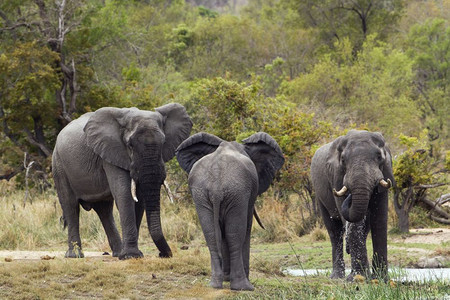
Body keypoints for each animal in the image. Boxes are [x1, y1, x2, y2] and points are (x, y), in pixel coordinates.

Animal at [51, 102, 192, 258]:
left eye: (163, 143)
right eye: (130, 145)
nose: (163, 254)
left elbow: (139, 200)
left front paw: (132, 255)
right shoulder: (110, 152)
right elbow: (124, 194)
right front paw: (131, 255)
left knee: (104, 210)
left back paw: (118, 253)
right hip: (59, 165)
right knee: (70, 206)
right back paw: (74, 256)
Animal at [177, 132, 284, 290]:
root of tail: (216, 182)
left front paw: (227, 279)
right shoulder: (247, 194)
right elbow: (246, 227)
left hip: (201, 194)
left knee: (211, 235)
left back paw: (215, 285)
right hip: (236, 192)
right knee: (235, 235)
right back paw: (244, 287)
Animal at [310, 129, 394, 282]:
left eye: (379, 157)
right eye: (343, 160)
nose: (350, 196)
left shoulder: (385, 174)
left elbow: (379, 220)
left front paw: (380, 279)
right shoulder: (336, 176)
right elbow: (353, 224)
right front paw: (358, 278)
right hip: (318, 194)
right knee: (334, 231)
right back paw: (337, 277)